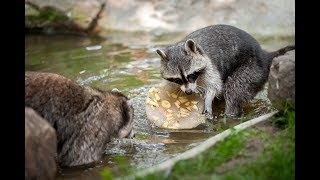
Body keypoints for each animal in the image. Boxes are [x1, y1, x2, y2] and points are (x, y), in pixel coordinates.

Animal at [156, 24, 294, 119]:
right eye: (177, 79)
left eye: (191, 75)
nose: (189, 92)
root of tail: (265, 55)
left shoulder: (210, 65)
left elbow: (214, 86)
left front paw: (208, 100)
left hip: (252, 68)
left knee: (234, 89)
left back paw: (229, 114)